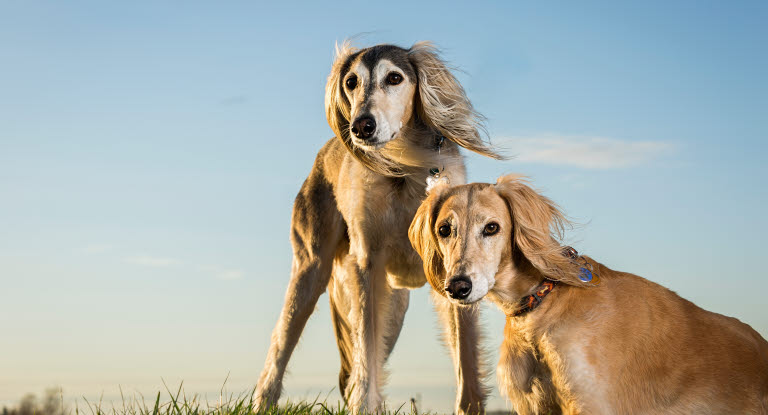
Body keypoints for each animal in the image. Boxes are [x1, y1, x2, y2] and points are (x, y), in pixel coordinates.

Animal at [255, 43, 500, 415]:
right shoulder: (367, 265)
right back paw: (263, 399)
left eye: (394, 78)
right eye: (351, 82)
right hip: (312, 269)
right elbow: (365, 356)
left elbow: (466, 358)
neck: (404, 168)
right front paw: (364, 405)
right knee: (284, 341)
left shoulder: (457, 269)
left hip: (394, 305)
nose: (362, 126)